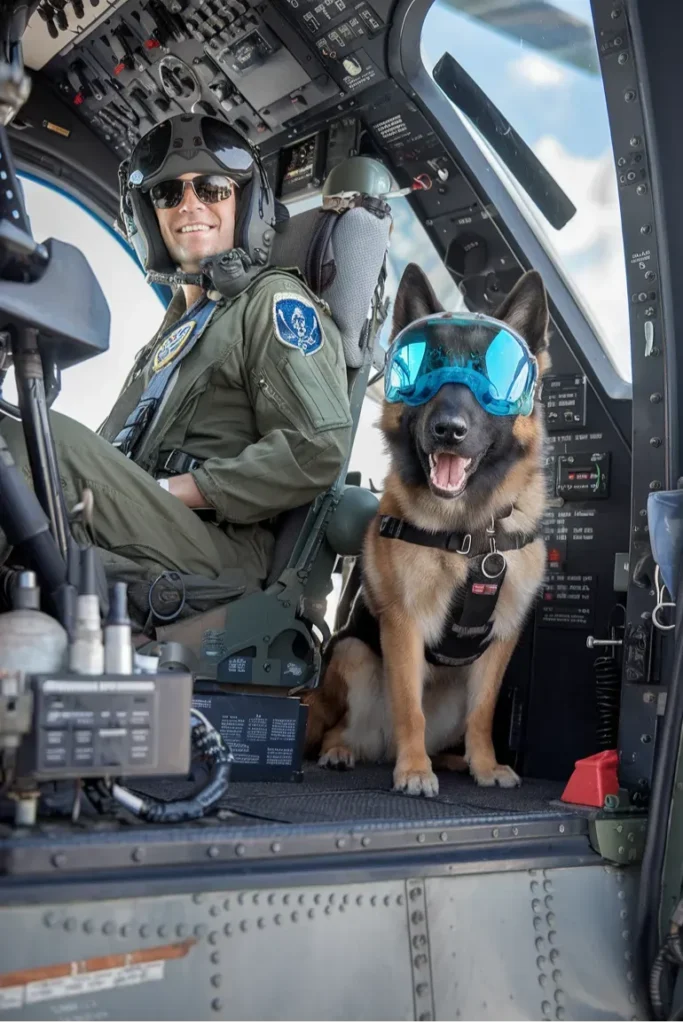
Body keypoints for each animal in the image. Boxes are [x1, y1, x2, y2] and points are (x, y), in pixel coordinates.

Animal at [305, 260, 548, 794]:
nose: (449, 430)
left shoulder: (501, 640)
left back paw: (451, 760)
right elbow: (409, 707)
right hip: (353, 652)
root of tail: (379, 747)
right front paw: (415, 770)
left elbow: (483, 713)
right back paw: (345, 752)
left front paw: (484, 765)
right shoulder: (403, 625)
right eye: (426, 371)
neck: (470, 532)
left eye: (490, 375)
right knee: (341, 728)